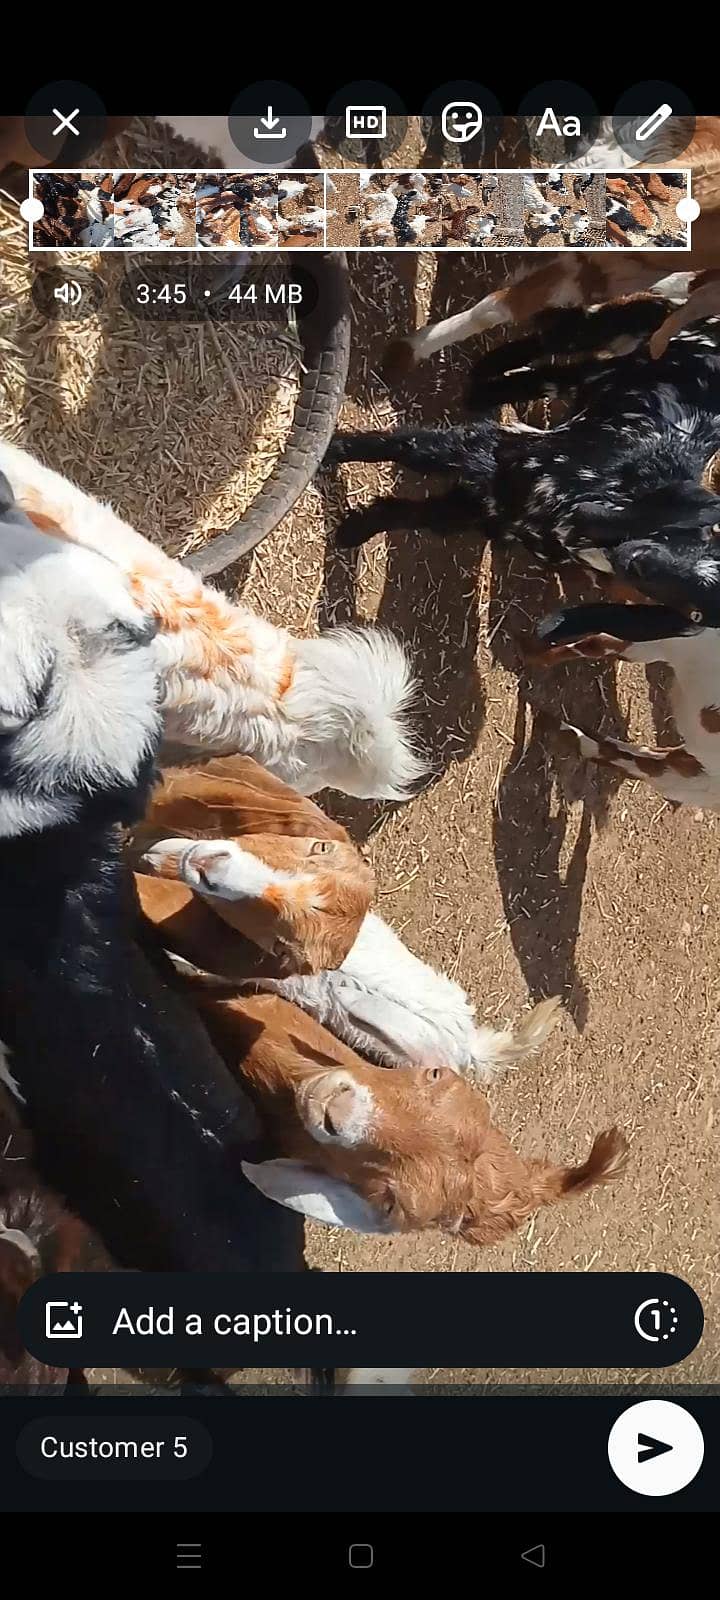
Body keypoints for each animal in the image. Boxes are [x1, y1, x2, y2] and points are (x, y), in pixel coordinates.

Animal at [329, 306, 720, 566]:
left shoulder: (487, 508)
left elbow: (413, 514)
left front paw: (355, 529)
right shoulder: (487, 451)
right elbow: (399, 447)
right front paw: (331, 449)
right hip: (606, 369)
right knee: (554, 353)